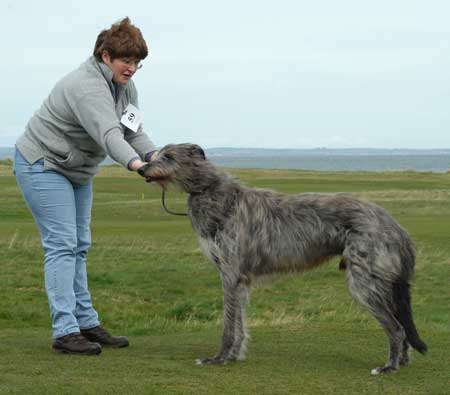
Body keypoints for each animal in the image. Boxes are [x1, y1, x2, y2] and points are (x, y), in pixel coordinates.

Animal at [139, 144, 428, 376]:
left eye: (168, 156)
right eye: (158, 154)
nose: (142, 169)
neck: (209, 190)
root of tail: (396, 227)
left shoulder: (229, 273)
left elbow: (229, 324)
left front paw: (218, 358)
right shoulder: (240, 279)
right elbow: (240, 323)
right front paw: (234, 356)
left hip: (364, 282)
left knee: (397, 328)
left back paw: (388, 367)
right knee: (401, 325)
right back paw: (401, 362)